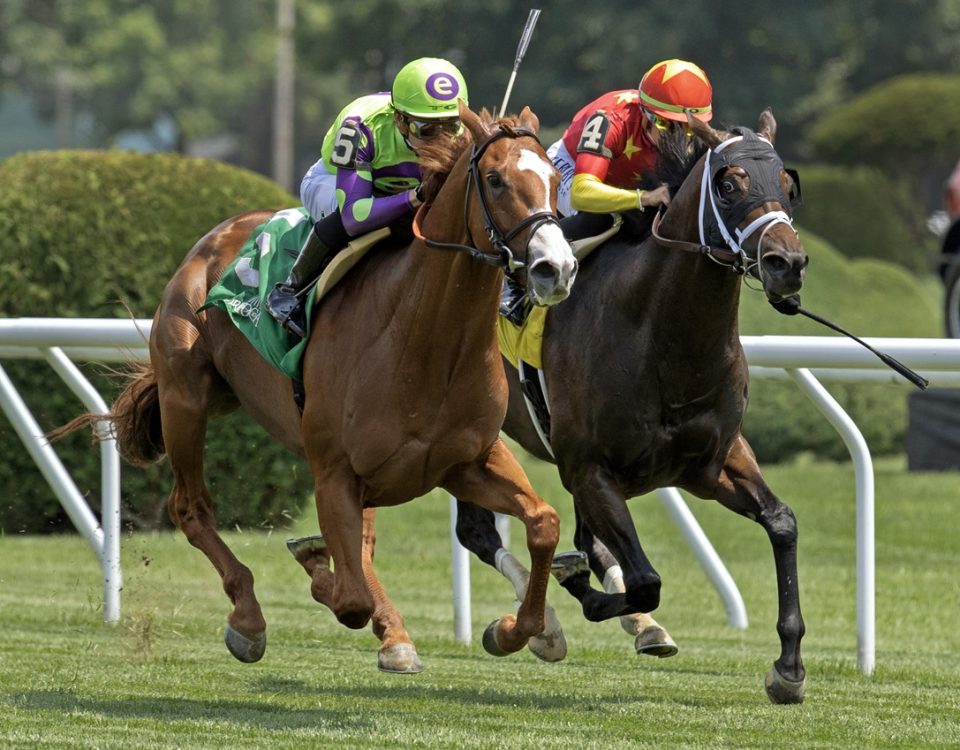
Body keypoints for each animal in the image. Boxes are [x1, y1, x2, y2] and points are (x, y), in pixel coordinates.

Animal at [69, 104, 576, 676]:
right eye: (494, 179)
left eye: (554, 177)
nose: (556, 269)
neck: (423, 338)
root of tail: (214, 239)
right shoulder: (334, 470)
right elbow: (349, 595)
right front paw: (317, 566)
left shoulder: (467, 461)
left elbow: (544, 522)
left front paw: (517, 629)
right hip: (187, 397)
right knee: (189, 507)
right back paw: (249, 618)